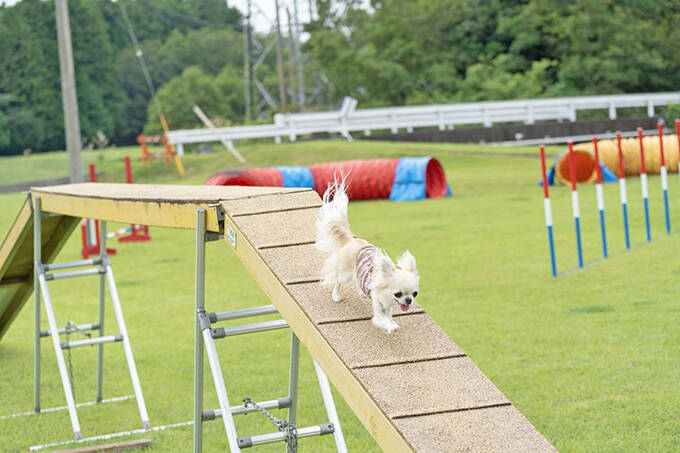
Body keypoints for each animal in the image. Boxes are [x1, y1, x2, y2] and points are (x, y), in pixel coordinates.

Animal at [314, 179, 420, 332]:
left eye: (414, 293)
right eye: (398, 293)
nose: (409, 300)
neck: (386, 295)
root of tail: (352, 240)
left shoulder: (388, 306)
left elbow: (388, 315)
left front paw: (391, 323)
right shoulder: (378, 306)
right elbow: (381, 319)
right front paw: (392, 327)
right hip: (345, 274)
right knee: (338, 281)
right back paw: (336, 295)